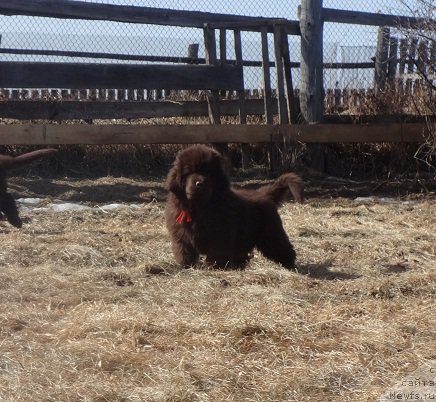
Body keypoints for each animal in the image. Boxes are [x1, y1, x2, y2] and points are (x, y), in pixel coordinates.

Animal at [164, 144, 304, 270]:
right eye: (189, 172)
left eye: (208, 173)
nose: (199, 183)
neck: (199, 207)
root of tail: (264, 194)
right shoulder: (181, 236)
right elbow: (184, 252)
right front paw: (186, 267)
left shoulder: (220, 234)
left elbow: (217, 253)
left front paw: (214, 267)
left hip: (271, 233)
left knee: (282, 247)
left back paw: (289, 266)